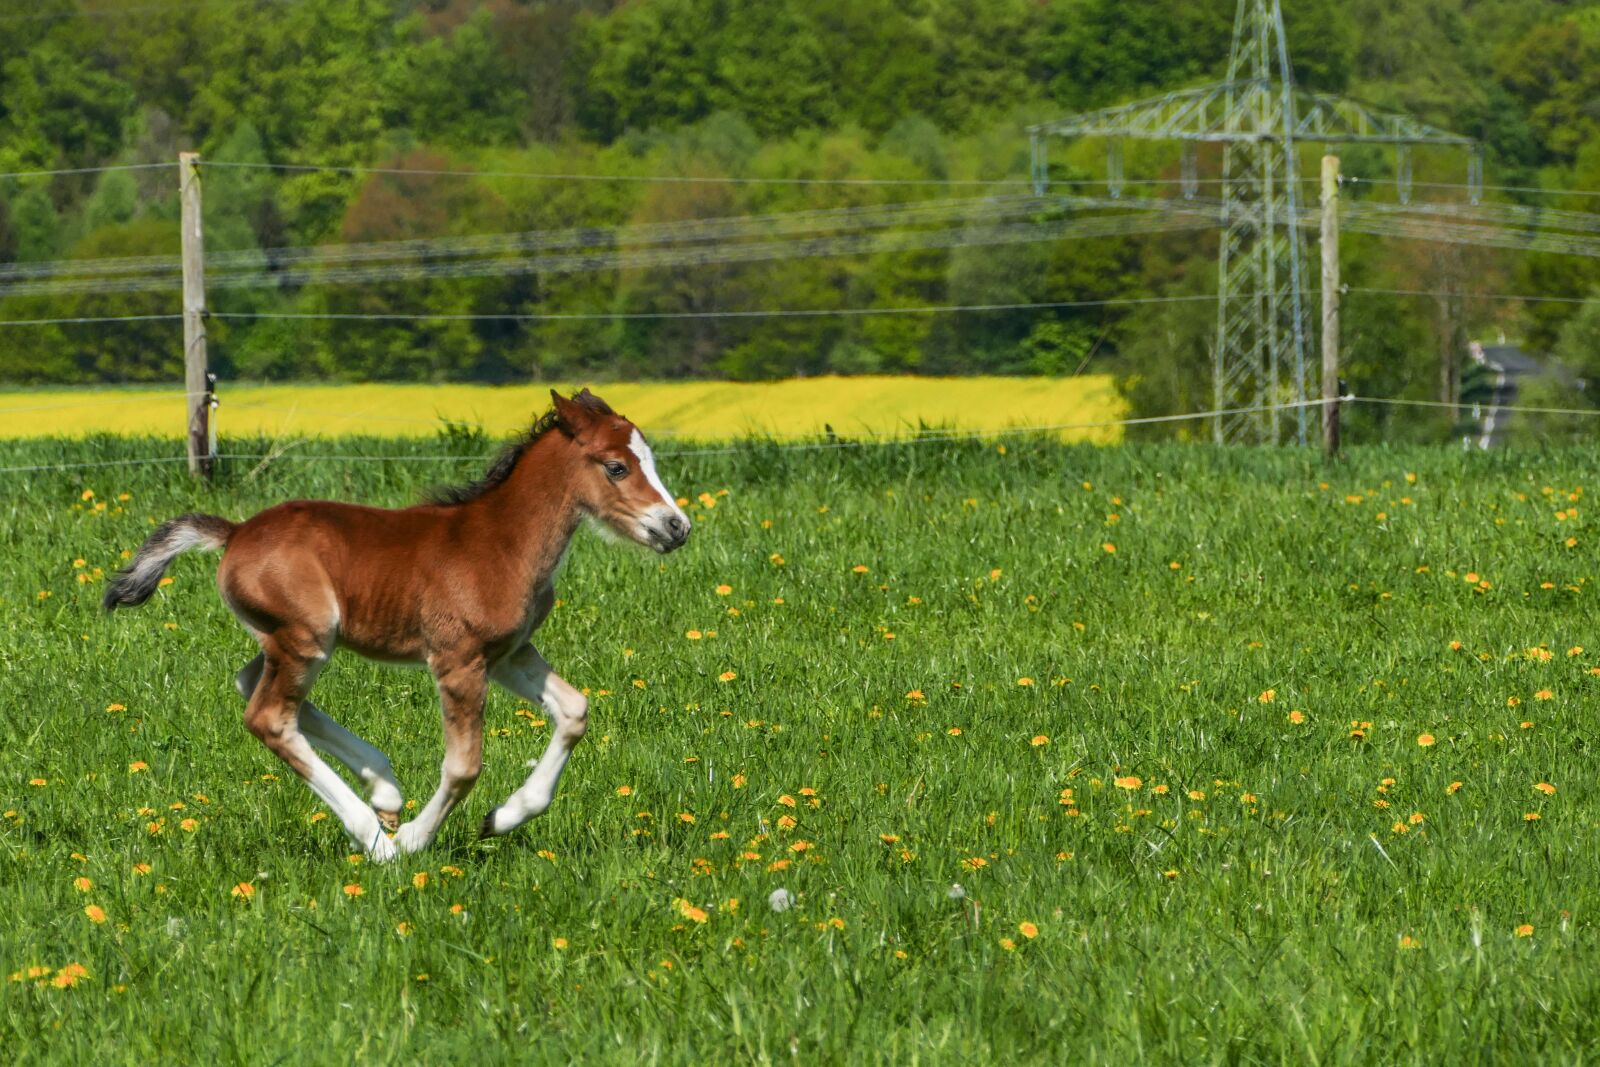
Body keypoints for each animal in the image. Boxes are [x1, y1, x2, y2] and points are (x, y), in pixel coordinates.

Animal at [103, 389, 691, 862]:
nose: (676, 527)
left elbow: (574, 711)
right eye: (616, 467)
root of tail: (235, 532)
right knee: (269, 717)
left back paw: (384, 787)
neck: (504, 541)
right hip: (306, 638)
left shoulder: (508, 654)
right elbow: (464, 766)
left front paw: (501, 818)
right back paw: (377, 838)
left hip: (291, 639)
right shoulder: (458, 660)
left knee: (252, 684)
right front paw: (412, 841)